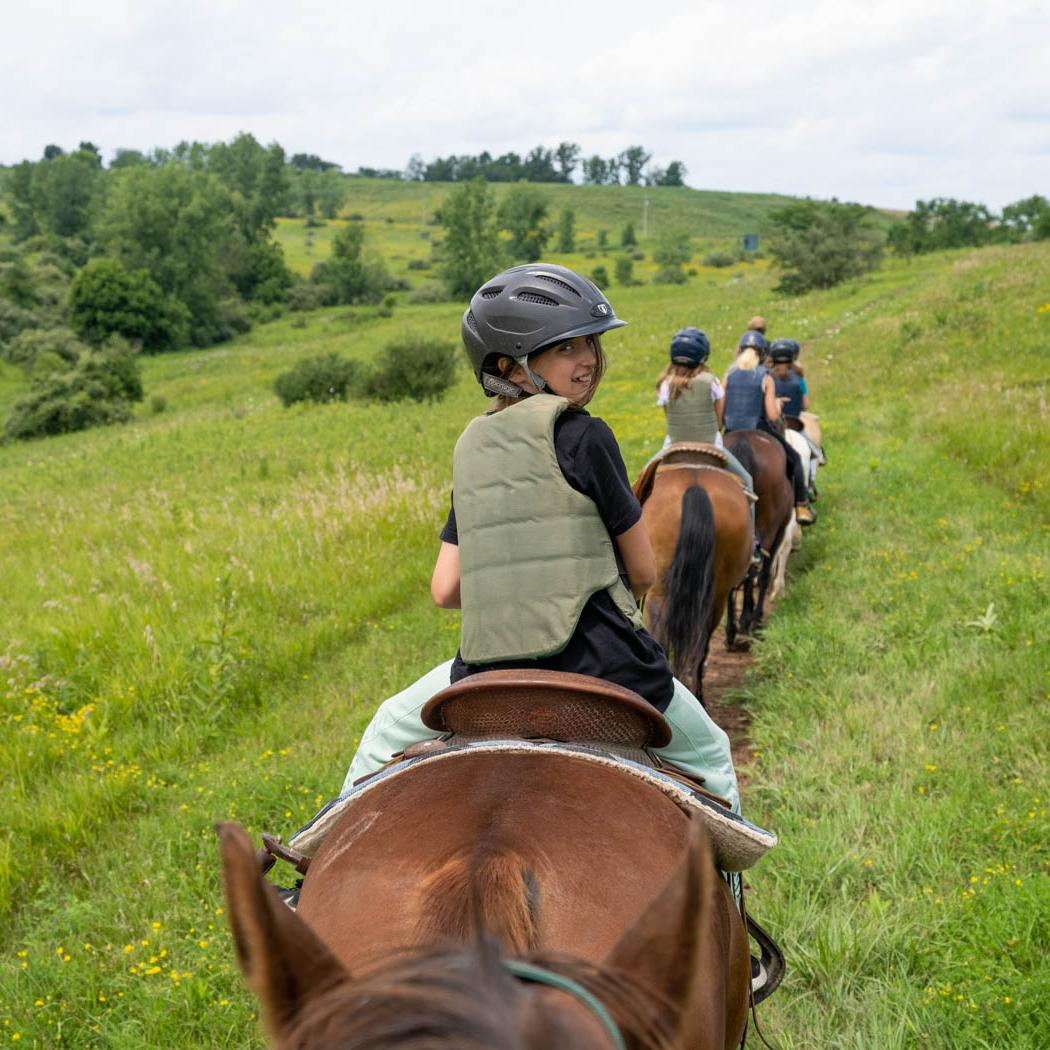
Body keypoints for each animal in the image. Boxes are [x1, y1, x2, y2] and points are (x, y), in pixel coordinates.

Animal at [726, 428, 789, 638]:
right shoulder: (778, 533)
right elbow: (764, 574)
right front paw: (756, 615)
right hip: (769, 528)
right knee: (755, 570)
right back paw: (747, 620)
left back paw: (731, 629)